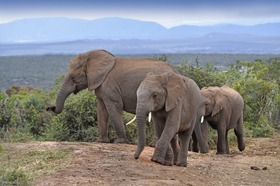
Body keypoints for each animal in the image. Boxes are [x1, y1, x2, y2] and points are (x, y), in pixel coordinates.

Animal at [46, 48, 177, 143]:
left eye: (73, 77)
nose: (49, 108)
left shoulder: (109, 87)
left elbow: (113, 107)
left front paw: (120, 142)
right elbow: (101, 109)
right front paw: (101, 141)